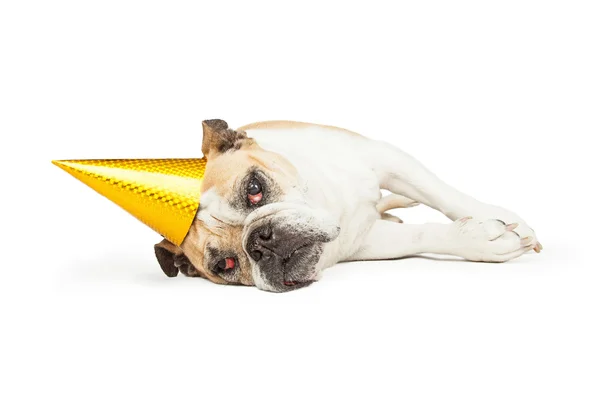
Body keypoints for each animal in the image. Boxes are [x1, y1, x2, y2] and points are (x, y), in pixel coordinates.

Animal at [152, 120, 540, 292]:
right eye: (225, 265)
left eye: (254, 189)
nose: (261, 239)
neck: (329, 201)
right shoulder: (365, 241)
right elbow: (420, 236)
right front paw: (478, 240)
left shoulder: (386, 158)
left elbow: (442, 193)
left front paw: (500, 218)